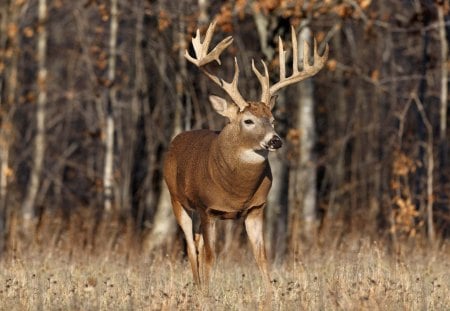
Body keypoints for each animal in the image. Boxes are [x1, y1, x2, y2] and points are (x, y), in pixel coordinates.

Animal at [163, 22, 328, 292]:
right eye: (248, 121)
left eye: (273, 120)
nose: (275, 140)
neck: (237, 191)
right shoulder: (207, 207)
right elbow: (210, 256)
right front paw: (207, 294)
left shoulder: (256, 208)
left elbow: (261, 256)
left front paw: (272, 295)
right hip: (177, 199)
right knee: (190, 245)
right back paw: (198, 287)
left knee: (196, 242)